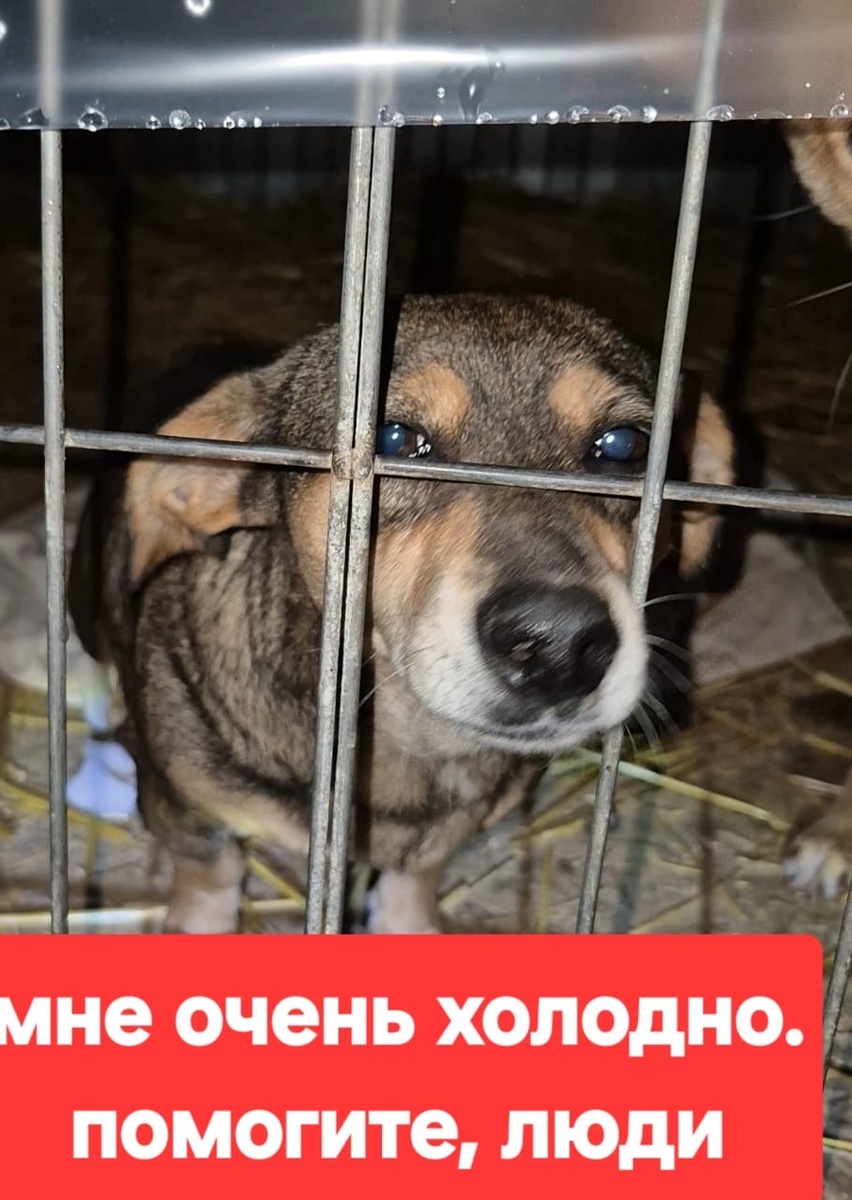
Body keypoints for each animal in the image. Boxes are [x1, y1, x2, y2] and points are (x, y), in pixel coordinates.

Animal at [68, 295, 735, 933]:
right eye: (392, 440)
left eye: (624, 446)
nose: (559, 645)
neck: (414, 740)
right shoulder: (185, 806)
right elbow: (212, 875)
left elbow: (417, 876)